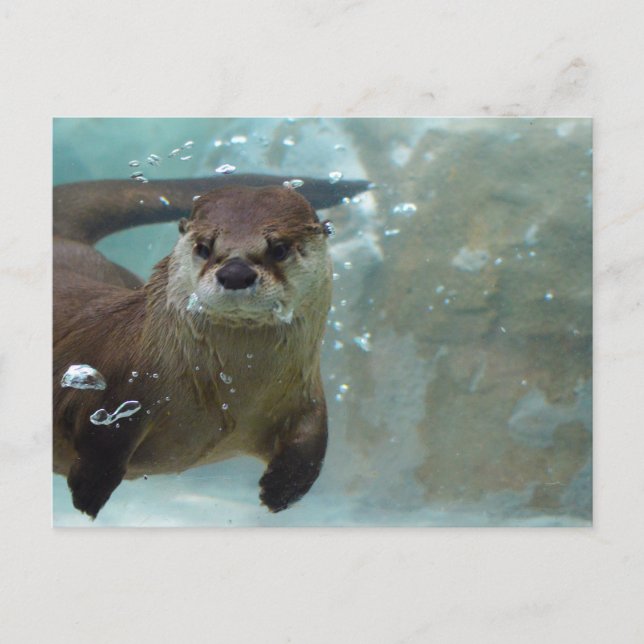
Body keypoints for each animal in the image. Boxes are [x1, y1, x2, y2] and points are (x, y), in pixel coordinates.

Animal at [53, 174, 370, 518]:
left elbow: (313, 440)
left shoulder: (306, 393)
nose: (235, 272)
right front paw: (90, 488)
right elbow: (103, 439)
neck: (231, 393)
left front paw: (282, 490)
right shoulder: (117, 386)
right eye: (204, 247)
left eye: (279, 248)